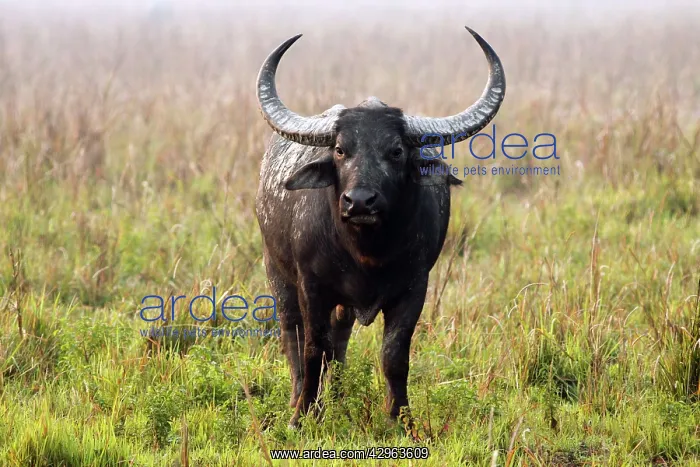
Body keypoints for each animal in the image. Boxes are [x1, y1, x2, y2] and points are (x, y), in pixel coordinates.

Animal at [255, 27, 505, 427]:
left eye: (397, 151)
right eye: (341, 149)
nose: (359, 202)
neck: (366, 253)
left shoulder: (414, 288)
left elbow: (394, 355)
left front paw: (401, 420)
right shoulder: (311, 286)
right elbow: (312, 349)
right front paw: (303, 415)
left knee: (340, 339)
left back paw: (338, 397)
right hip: (276, 272)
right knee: (292, 334)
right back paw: (302, 399)